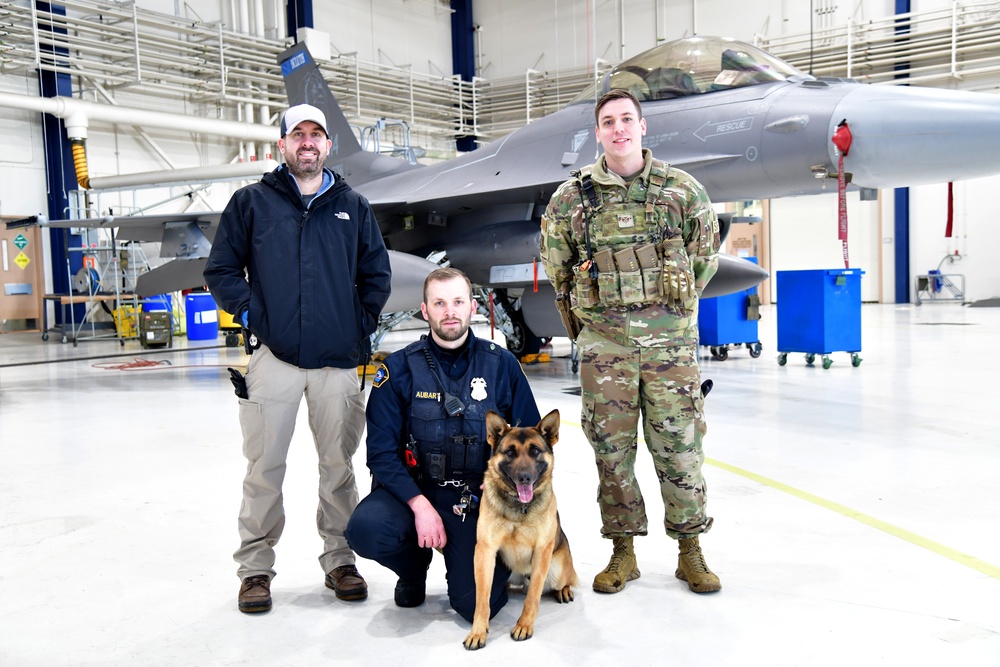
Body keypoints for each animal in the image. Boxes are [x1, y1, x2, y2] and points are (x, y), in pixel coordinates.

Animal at [462, 410, 580, 648]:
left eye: (535, 451)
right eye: (510, 452)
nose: (524, 478)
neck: (519, 507)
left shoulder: (542, 552)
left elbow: (533, 597)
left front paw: (524, 625)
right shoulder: (485, 552)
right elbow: (482, 599)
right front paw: (478, 632)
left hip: (556, 569)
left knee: (565, 581)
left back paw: (563, 591)